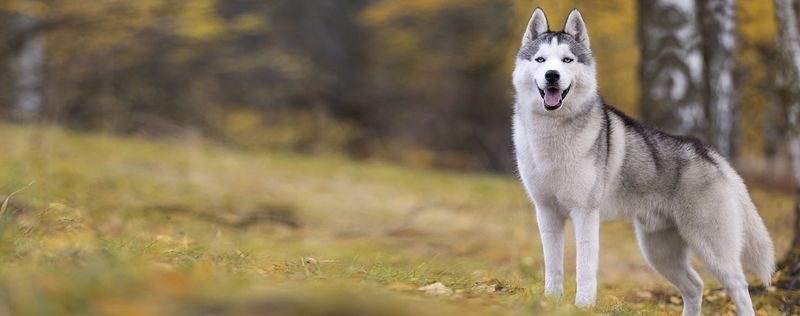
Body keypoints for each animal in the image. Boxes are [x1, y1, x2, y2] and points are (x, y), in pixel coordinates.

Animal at [512, 7, 776, 316]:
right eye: (540, 60)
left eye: (567, 60)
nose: (552, 75)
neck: (552, 135)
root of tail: (710, 153)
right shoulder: (546, 212)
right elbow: (552, 266)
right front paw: (550, 302)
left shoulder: (585, 213)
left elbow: (584, 269)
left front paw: (583, 306)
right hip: (658, 250)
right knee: (695, 285)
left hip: (712, 246)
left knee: (739, 286)